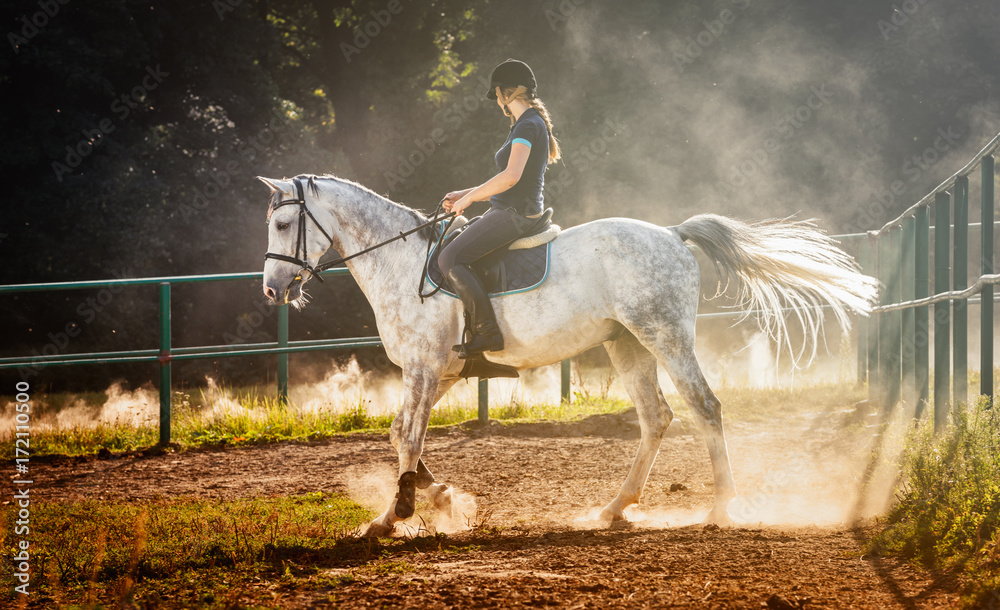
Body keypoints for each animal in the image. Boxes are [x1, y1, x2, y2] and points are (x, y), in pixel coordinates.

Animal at [258, 173, 876, 536]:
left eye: (284, 222)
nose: (270, 288)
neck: (402, 264)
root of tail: (673, 234)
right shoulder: (439, 372)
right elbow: (399, 434)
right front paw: (442, 499)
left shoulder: (424, 368)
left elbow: (408, 437)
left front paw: (394, 516)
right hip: (627, 344)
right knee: (657, 418)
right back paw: (615, 508)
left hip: (664, 336)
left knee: (704, 407)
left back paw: (722, 507)